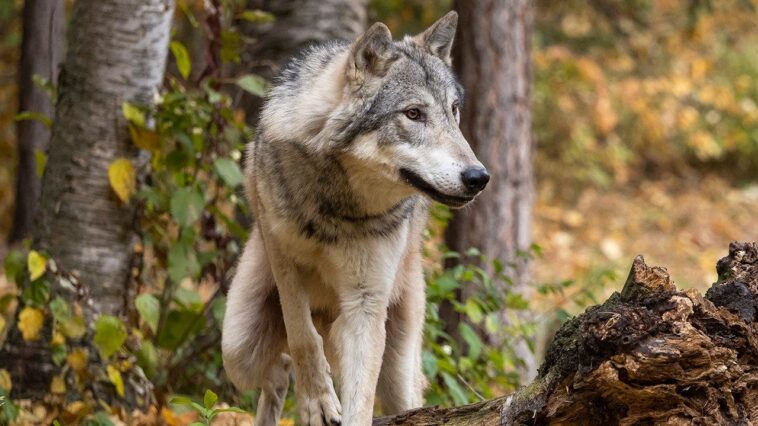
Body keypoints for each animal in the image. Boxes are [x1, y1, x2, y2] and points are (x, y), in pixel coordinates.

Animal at [221, 11, 489, 426]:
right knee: (279, 367)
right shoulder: (283, 262)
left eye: (454, 110)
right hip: (238, 344)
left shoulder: (365, 303)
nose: (478, 177)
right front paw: (317, 400)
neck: (336, 207)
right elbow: (303, 336)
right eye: (414, 114)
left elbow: (359, 398)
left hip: (398, 367)